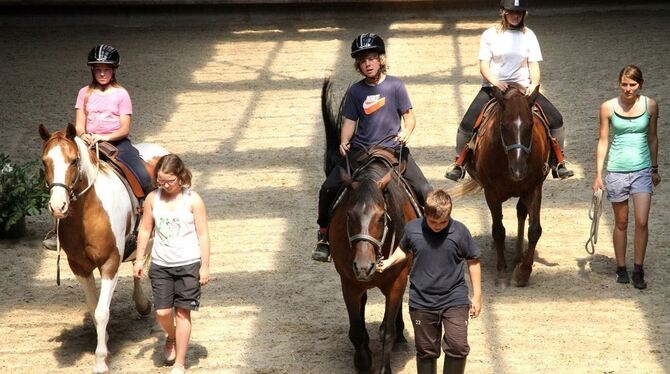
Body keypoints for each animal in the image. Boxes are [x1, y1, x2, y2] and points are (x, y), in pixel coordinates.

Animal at [39, 123, 169, 374]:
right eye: (44, 162)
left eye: (73, 161)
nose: (58, 206)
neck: (87, 213)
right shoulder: (79, 267)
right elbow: (93, 307)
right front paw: (105, 339)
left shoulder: (110, 264)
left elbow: (101, 312)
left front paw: (101, 360)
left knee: (144, 268)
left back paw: (148, 310)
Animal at [322, 77, 418, 372]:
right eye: (349, 216)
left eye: (382, 218)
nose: (364, 267)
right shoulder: (349, 282)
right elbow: (356, 329)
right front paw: (362, 361)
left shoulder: (397, 280)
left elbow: (386, 331)